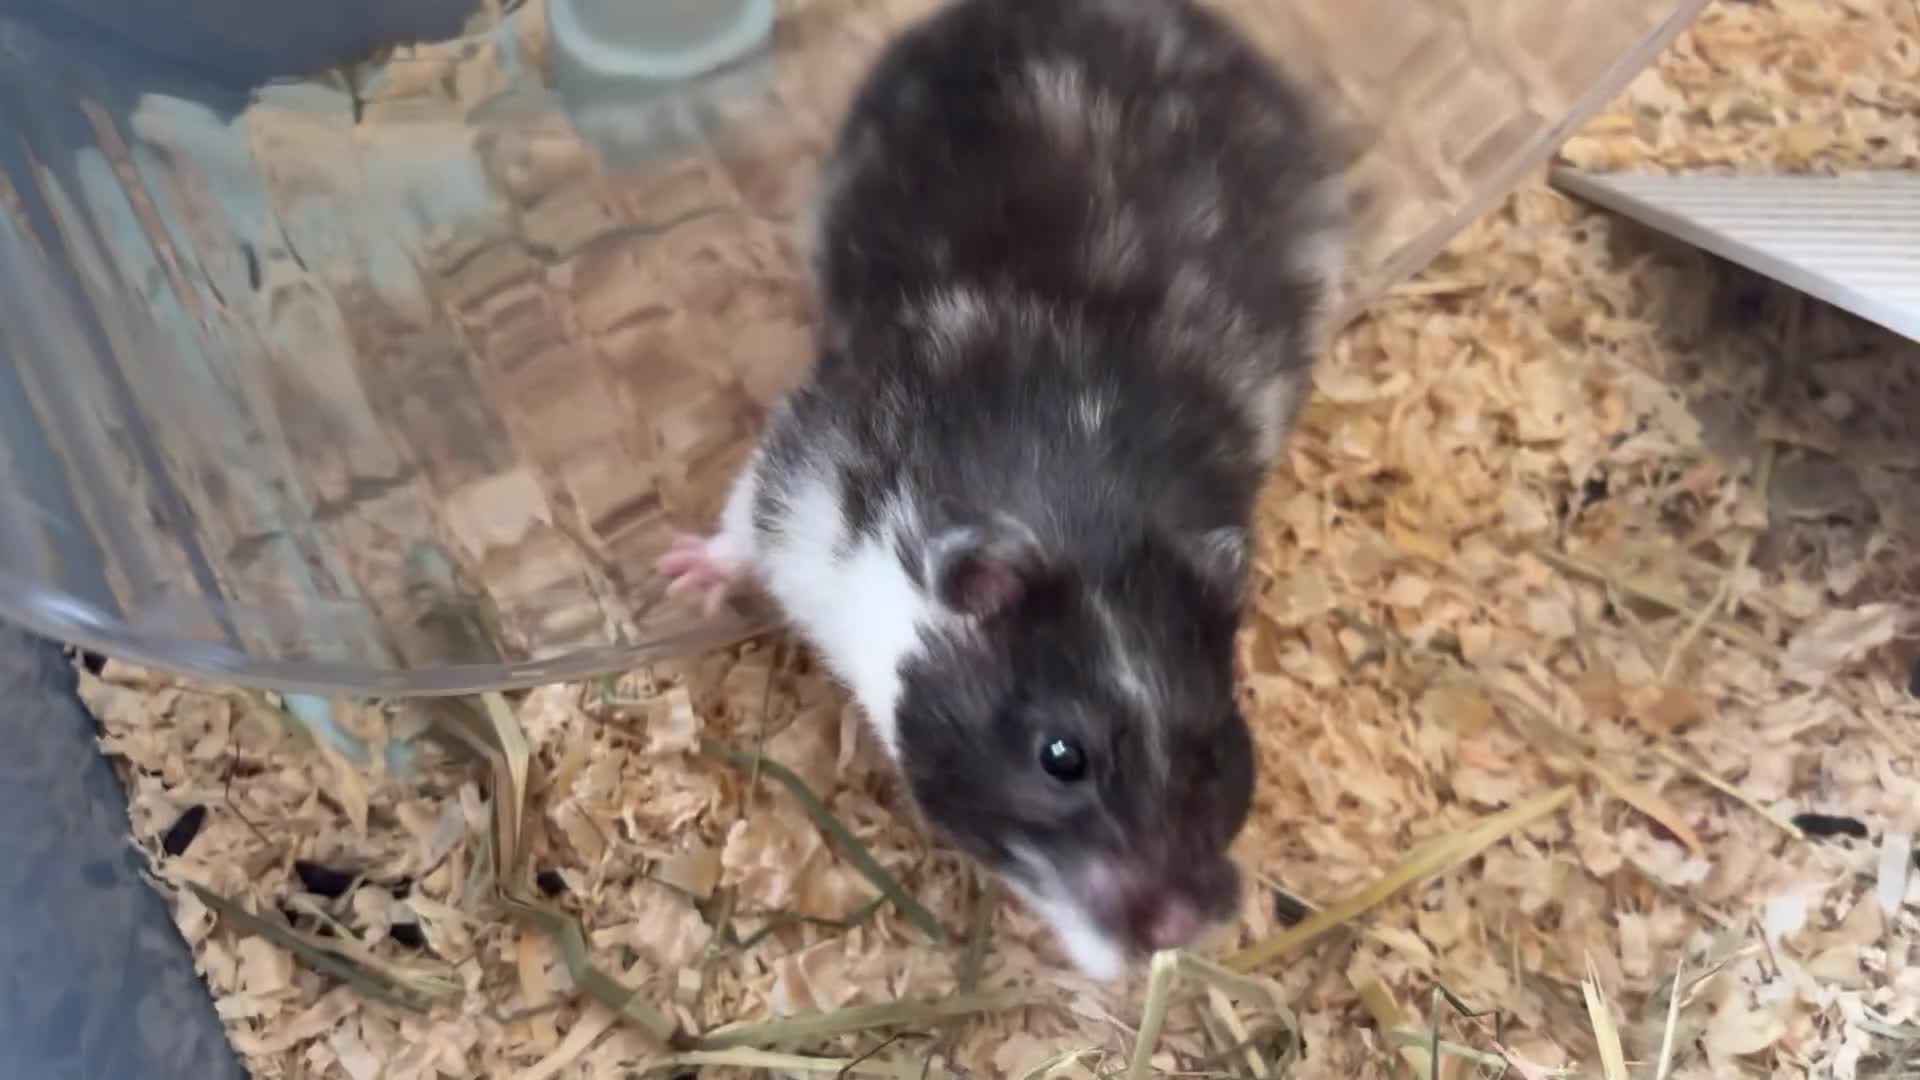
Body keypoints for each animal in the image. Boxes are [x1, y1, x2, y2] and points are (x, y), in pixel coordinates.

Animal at [657, 0, 1346, 979]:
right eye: (1061, 756)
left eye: (1216, 746)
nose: (1180, 926)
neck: (1087, 516)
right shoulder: (805, 463)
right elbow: (739, 518)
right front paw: (681, 574)